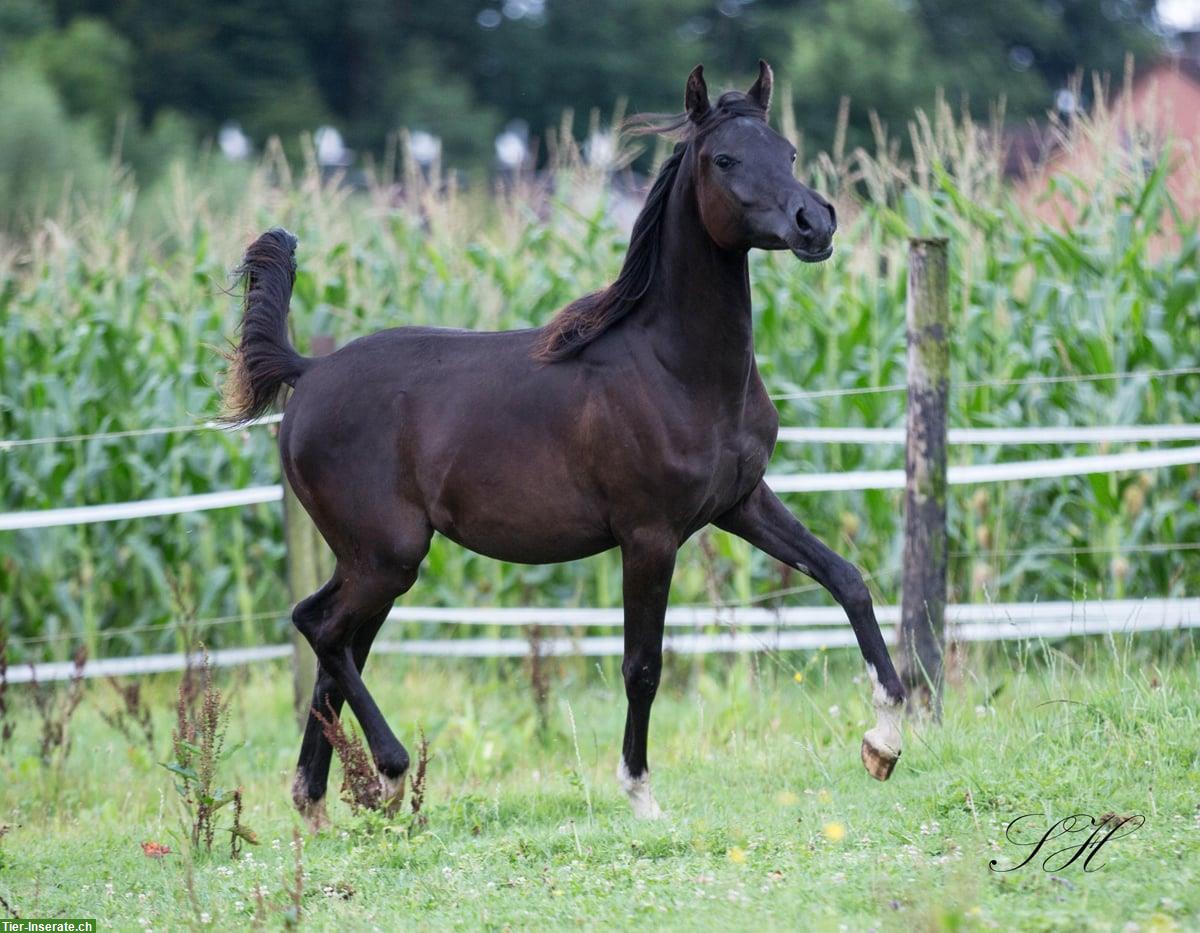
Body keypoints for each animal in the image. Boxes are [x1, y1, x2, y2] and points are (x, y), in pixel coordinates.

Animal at [223, 61, 902, 825]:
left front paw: (884, 741)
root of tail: (306, 372)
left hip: (374, 560)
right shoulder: (649, 535)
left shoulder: (742, 503)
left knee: (336, 643)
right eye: (725, 160)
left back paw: (321, 802)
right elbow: (643, 665)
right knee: (320, 627)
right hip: (387, 554)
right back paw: (390, 773)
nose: (816, 223)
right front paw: (639, 792)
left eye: (786, 151)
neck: (676, 369)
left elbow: (847, 578)